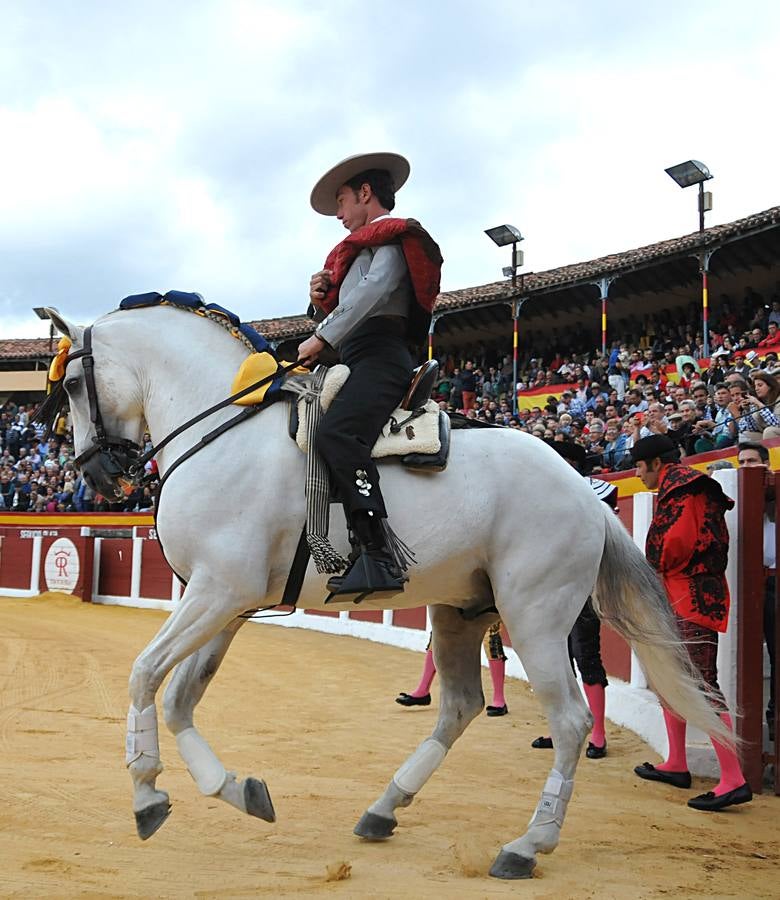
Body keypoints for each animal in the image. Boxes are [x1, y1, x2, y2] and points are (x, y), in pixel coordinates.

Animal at [44, 308, 732, 880]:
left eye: (72, 386)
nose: (96, 476)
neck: (221, 427)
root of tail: (585, 491)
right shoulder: (228, 604)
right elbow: (180, 698)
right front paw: (239, 791)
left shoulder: (216, 591)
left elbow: (143, 673)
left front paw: (146, 795)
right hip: (460, 610)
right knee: (460, 705)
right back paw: (384, 808)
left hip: (537, 617)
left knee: (569, 719)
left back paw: (525, 846)